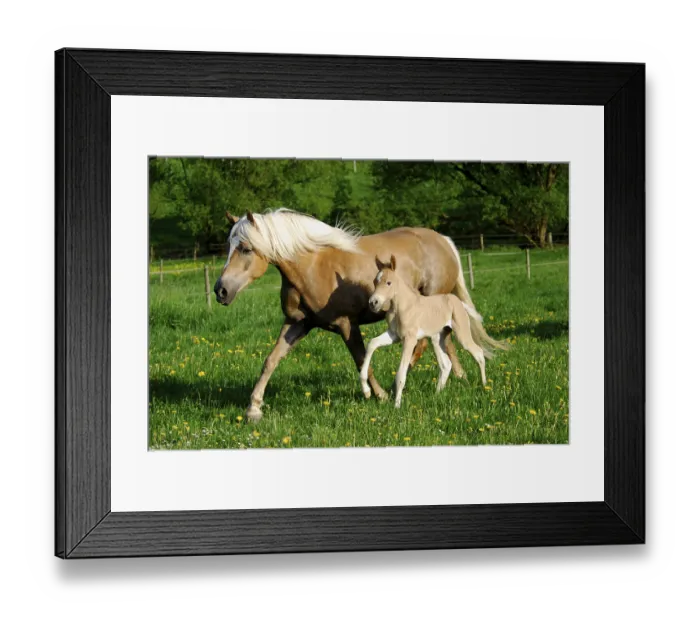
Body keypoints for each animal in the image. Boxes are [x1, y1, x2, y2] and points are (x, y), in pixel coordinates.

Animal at [214, 208, 491, 422]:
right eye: (228, 246)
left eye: (246, 248)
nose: (220, 290)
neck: (312, 267)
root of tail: (444, 241)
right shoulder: (296, 324)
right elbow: (270, 361)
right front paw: (253, 409)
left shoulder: (346, 324)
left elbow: (361, 359)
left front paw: (377, 395)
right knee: (447, 342)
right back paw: (460, 377)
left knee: (425, 346)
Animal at [361, 255, 506, 408]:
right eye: (374, 281)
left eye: (388, 282)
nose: (373, 303)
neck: (401, 306)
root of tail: (458, 302)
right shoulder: (394, 335)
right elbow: (372, 343)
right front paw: (366, 390)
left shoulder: (409, 339)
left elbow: (401, 372)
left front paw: (397, 406)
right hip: (438, 338)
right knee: (446, 364)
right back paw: (437, 395)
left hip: (461, 334)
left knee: (477, 352)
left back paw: (484, 385)